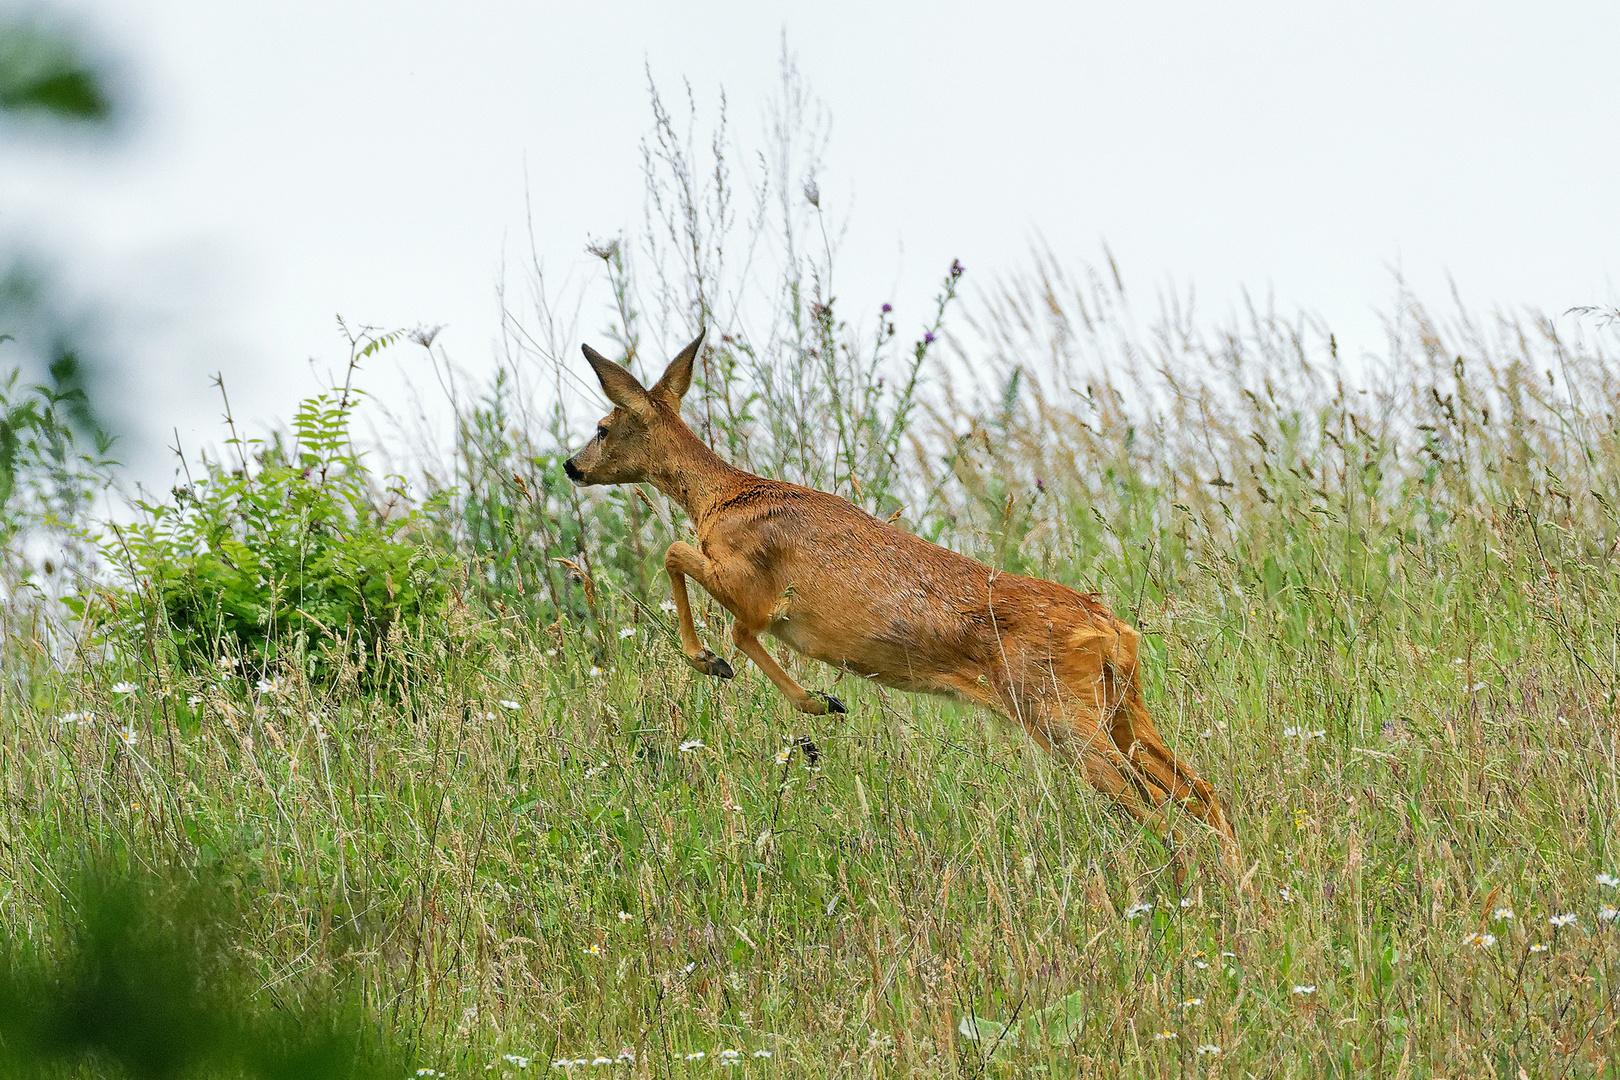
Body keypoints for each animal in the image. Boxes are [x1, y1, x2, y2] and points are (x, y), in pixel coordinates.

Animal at [570, 330, 1237, 880]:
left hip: (1057, 711)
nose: (571, 465)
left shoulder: (753, 586)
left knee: (1154, 808)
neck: (722, 497)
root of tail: (1110, 627)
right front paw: (807, 701)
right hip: (1118, 707)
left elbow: (687, 570)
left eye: (603, 425)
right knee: (1200, 792)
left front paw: (763, 681)